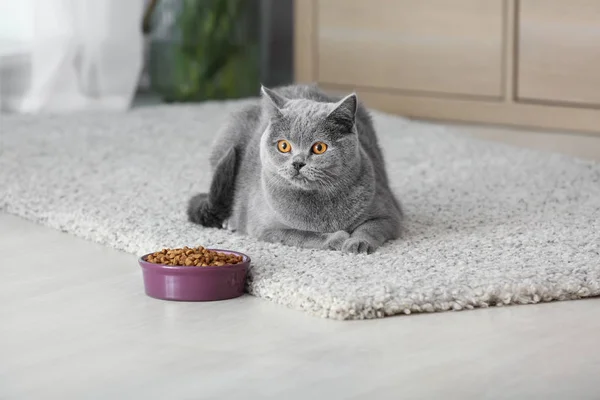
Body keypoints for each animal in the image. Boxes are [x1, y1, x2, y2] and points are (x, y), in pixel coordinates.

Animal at [189, 84, 404, 253]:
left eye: (319, 148)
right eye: (284, 146)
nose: (298, 163)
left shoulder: (389, 213)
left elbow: (371, 228)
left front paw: (357, 243)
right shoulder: (267, 228)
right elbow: (304, 234)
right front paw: (337, 238)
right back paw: (230, 221)